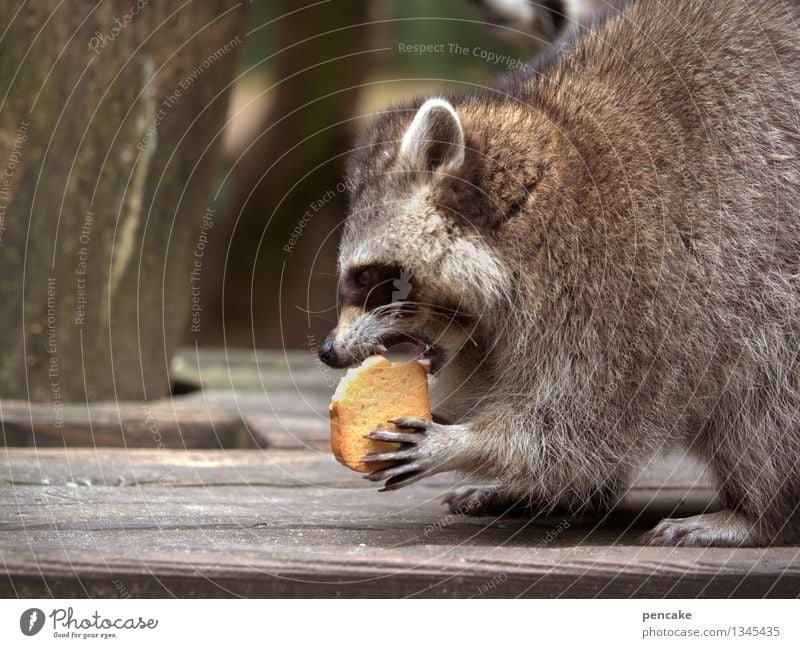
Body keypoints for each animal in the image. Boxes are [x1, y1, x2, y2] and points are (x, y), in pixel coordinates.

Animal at [318, 0, 800, 548]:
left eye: (367, 278)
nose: (327, 351)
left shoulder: (632, 280)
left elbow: (587, 419)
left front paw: (470, 443)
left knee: (768, 391)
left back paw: (758, 514)